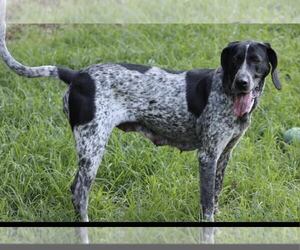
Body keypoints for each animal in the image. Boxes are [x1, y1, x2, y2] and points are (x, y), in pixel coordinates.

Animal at [0, 0, 282, 223]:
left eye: (256, 61)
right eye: (235, 60)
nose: (242, 83)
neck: (226, 93)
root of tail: (77, 75)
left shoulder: (224, 154)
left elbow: (216, 192)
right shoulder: (207, 156)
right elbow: (207, 204)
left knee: (74, 190)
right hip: (92, 147)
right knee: (79, 192)